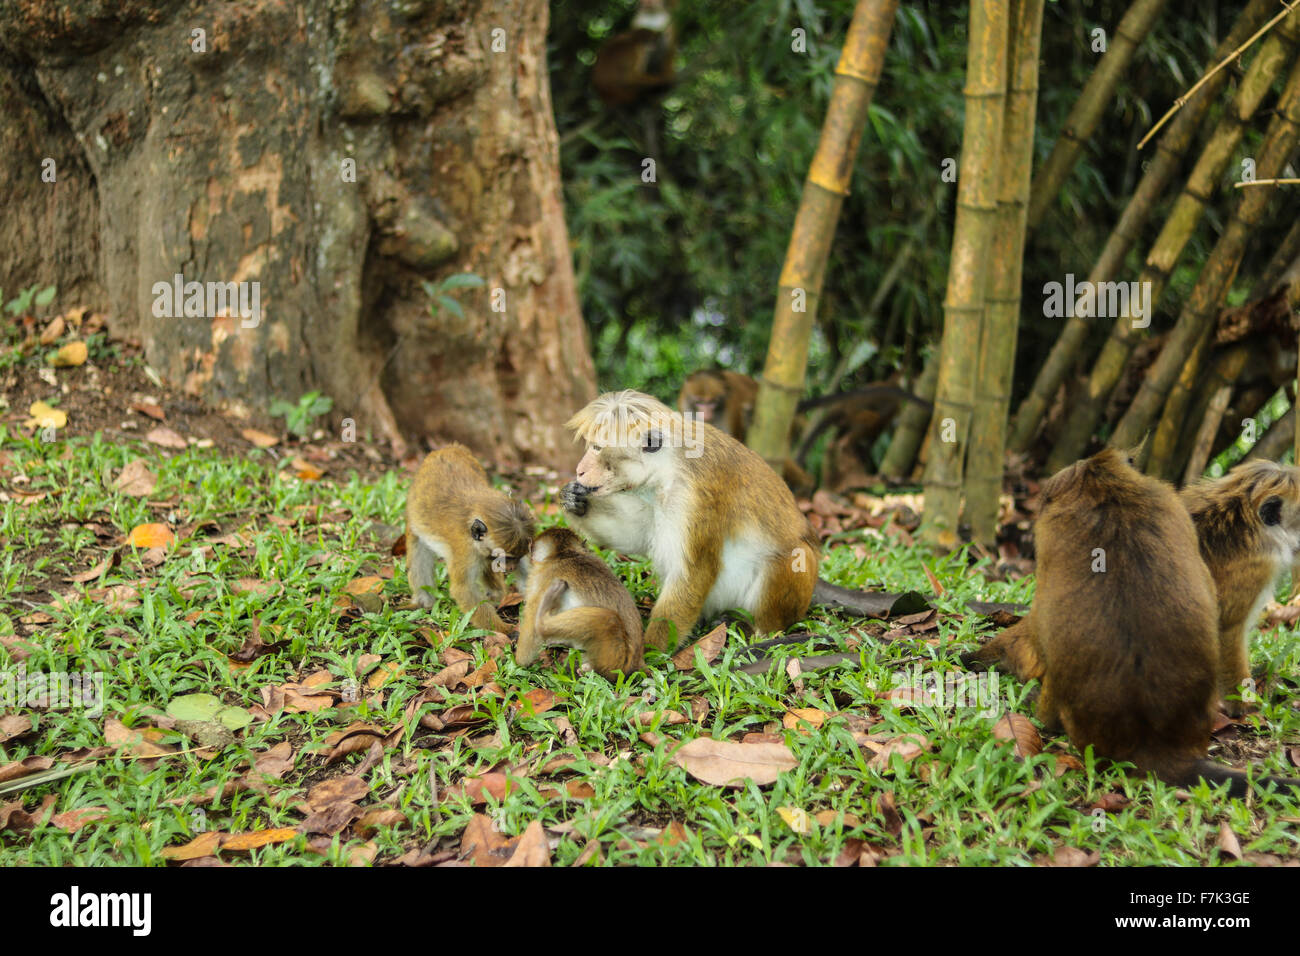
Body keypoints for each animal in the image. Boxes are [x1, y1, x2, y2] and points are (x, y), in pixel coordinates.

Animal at [405, 443, 535, 633]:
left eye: (517, 557)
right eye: (505, 557)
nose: (510, 567)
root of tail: (447, 448)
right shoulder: (465, 552)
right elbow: (463, 590)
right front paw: (507, 631)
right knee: (418, 549)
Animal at [515, 527, 643, 680]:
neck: (564, 554)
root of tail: (632, 666)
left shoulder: (541, 578)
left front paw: (519, 663)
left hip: (613, 658)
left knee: (609, 619)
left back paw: (543, 623)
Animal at [561, 390, 820, 651]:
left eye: (597, 448)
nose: (580, 469)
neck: (670, 467)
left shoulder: (694, 498)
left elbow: (693, 573)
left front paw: (650, 652)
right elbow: (636, 534)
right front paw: (576, 502)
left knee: (794, 557)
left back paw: (757, 630)